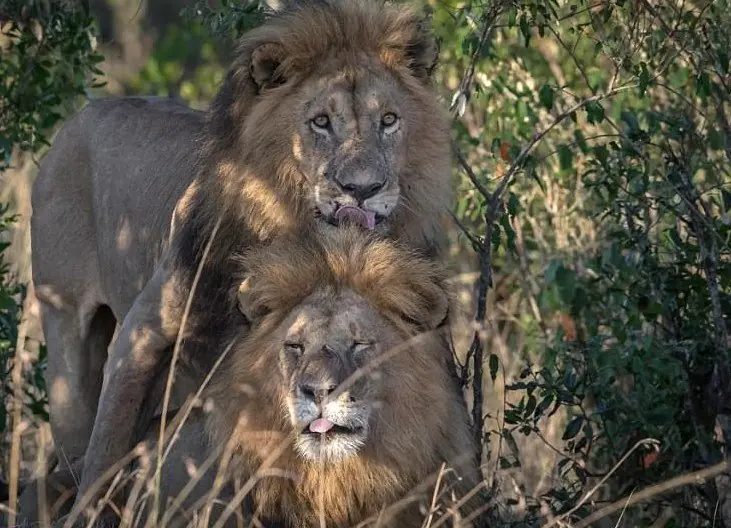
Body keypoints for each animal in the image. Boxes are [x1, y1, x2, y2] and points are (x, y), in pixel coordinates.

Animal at [29, 0, 454, 518]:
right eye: (320, 122)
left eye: (389, 120)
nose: (363, 188)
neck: (300, 237)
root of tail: (79, 116)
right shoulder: (140, 339)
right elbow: (103, 457)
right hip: (66, 334)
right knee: (75, 449)